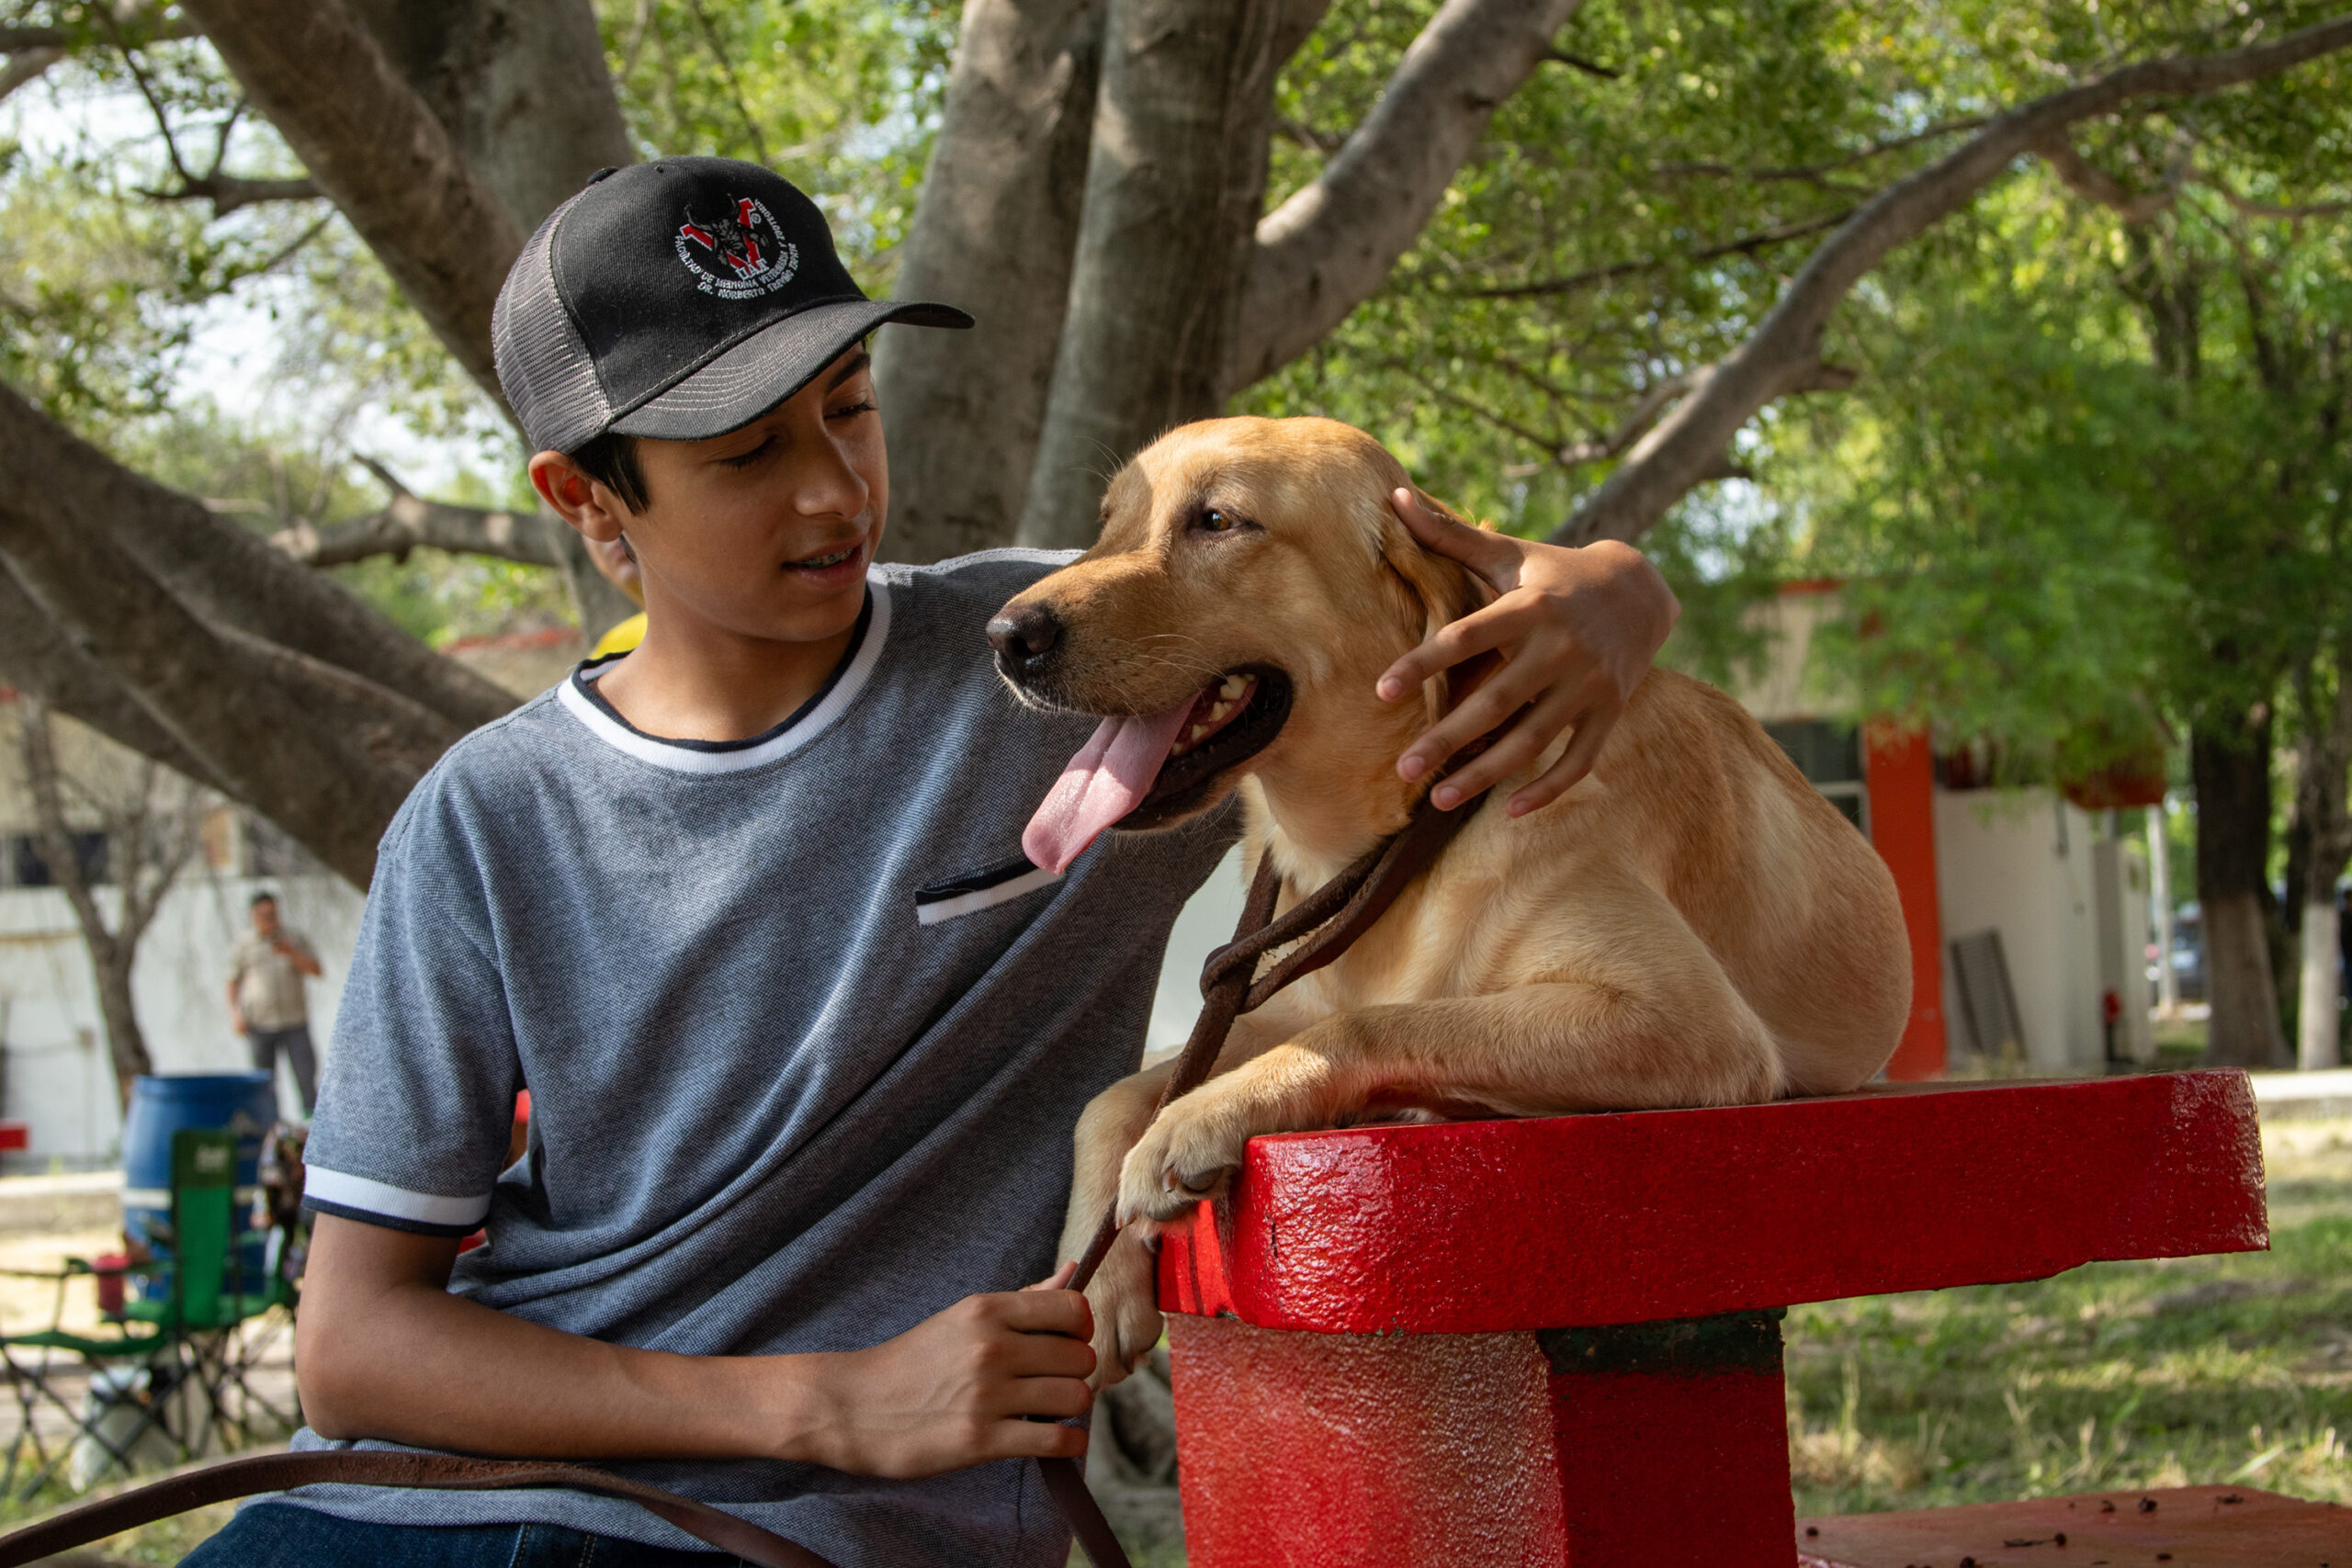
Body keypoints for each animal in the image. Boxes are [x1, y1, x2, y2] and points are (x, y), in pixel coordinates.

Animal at [988, 413, 1909, 1382]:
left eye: (1217, 520)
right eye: (1108, 521)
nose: (1006, 635)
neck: (1387, 835)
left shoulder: (1687, 1019)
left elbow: (1367, 1025)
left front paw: (1194, 1121)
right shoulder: (1268, 1002)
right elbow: (1114, 1096)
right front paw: (1095, 1274)